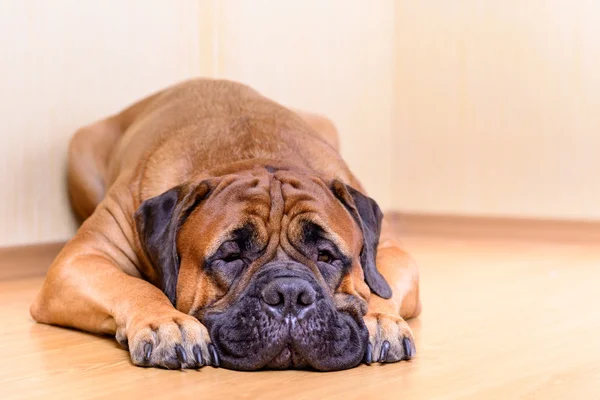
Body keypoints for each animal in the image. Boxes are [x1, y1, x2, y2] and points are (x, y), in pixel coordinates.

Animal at [29, 79, 422, 372]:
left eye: (326, 256)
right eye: (230, 256)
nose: (290, 294)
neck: (251, 155)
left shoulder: (390, 250)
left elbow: (378, 284)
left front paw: (379, 317)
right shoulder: (81, 259)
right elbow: (133, 286)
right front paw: (168, 324)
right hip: (80, 149)